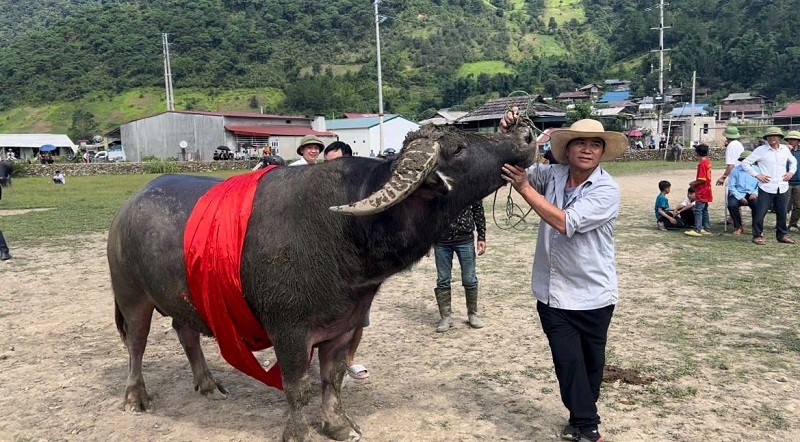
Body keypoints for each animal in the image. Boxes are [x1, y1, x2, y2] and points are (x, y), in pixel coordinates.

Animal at [106, 126, 532, 440]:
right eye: (459, 148)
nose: (526, 137)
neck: (351, 230)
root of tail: (127, 208)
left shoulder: (342, 326)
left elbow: (333, 379)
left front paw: (337, 425)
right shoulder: (289, 331)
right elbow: (298, 386)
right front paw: (298, 433)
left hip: (183, 297)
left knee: (185, 332)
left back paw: (208, 384)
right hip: (132, 297)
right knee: (136, 345)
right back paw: (135, 397)